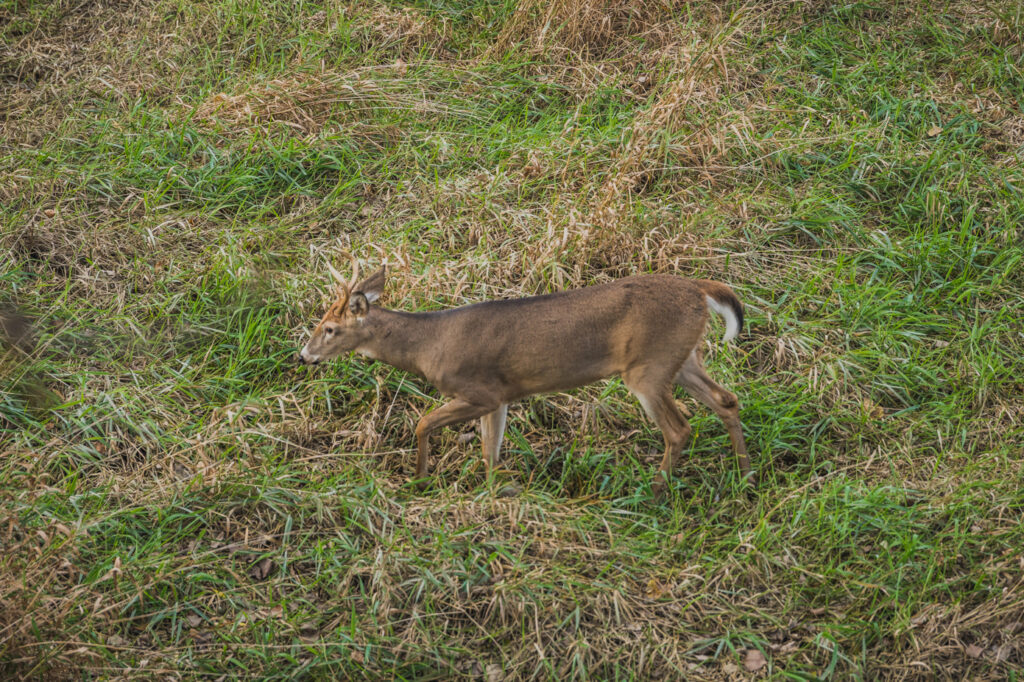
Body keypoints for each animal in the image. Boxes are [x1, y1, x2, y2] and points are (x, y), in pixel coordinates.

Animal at [299, 253, 753, 493]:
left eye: (330, 328)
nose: (304, 356)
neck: (428, 346)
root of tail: (699, 289)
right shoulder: (500, 396)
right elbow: (490, 450)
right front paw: (495, 491)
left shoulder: (478, 391)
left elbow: (424, 423)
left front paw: (421, 478)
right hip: (683, 356)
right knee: (727, 399)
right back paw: (745, 474)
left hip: (648, 367)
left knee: (680, 428)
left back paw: (656, 490)